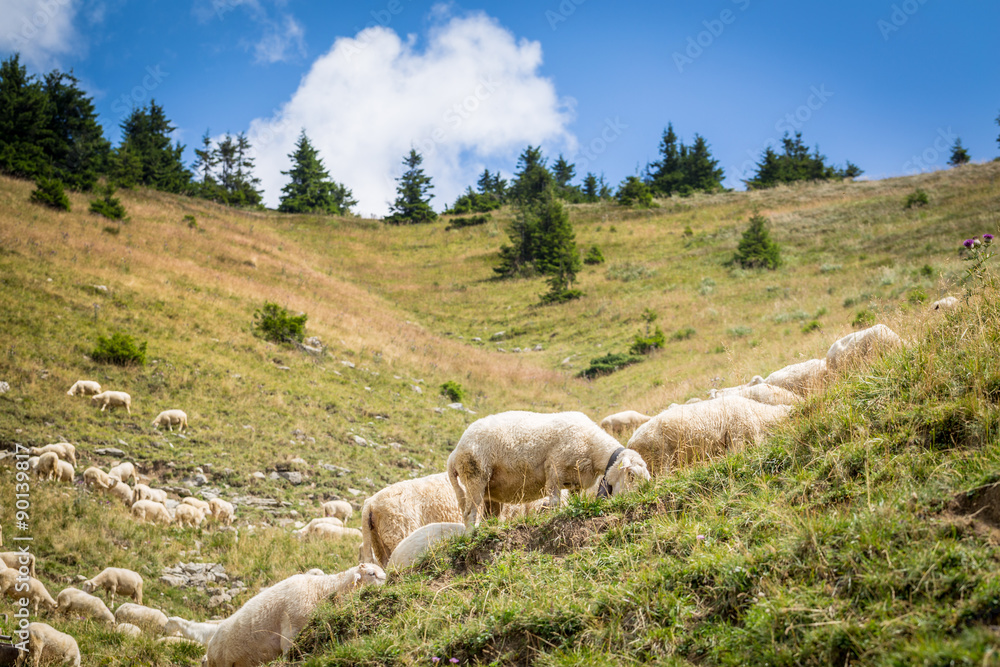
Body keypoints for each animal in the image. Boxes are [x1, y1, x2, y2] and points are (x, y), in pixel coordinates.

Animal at [447, 411, 651, 529]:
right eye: (631, 475)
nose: (637, 500)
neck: (593, 447)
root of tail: (455, 453)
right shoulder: (554, 469)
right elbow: (554, 502)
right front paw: (551, 515)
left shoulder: (575, 481)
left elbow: (574, 500)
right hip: (475, 476)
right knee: (469, 514)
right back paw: (472, 535)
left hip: (489, 491)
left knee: (489, 516)